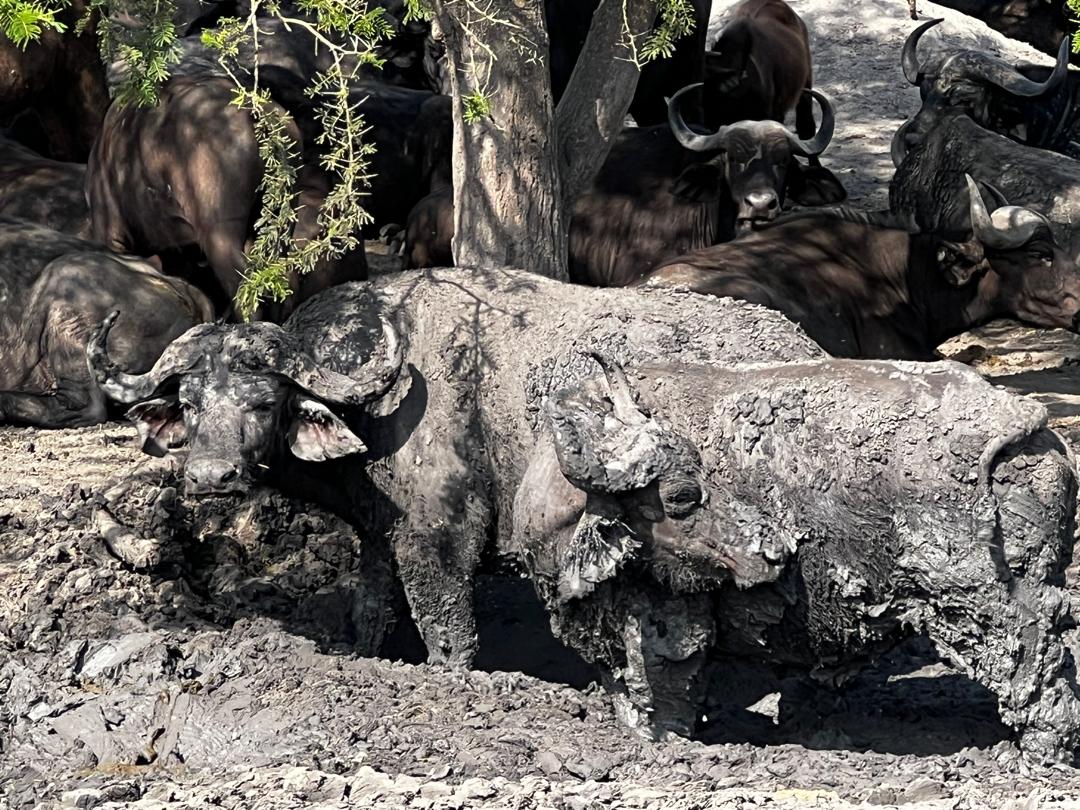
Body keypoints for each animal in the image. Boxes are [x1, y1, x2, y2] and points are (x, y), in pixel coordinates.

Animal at [88, 268, 1080, 764]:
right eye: (189, 400)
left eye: (261, 399)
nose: (211, 477)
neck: (384, 400)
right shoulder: (380, 540)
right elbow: (369, 615)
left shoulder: (440, 543)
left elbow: (449, 636)